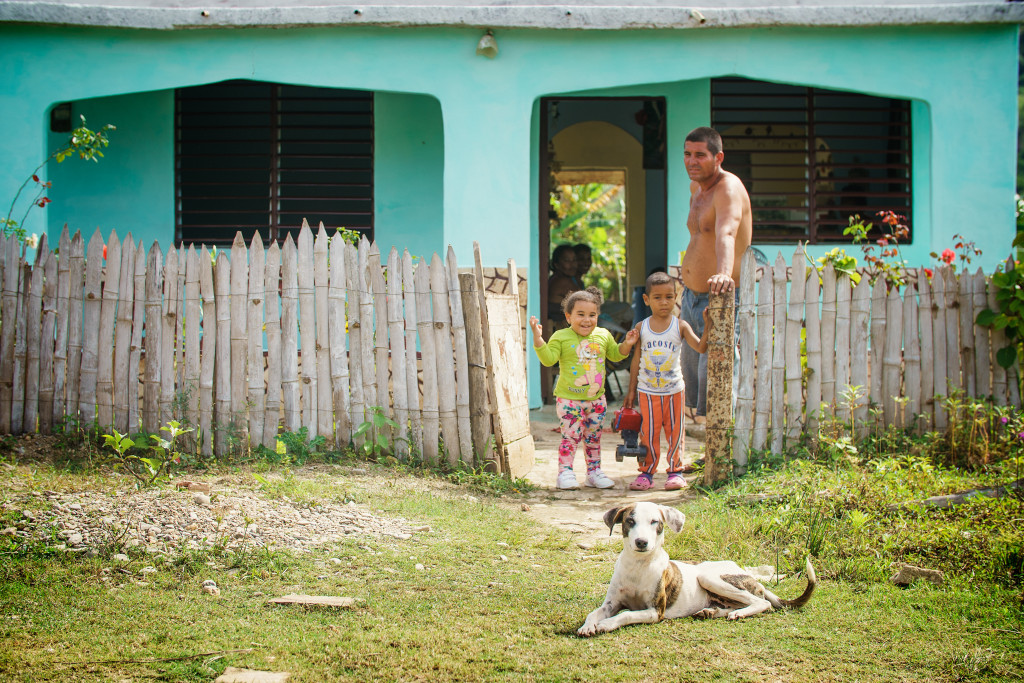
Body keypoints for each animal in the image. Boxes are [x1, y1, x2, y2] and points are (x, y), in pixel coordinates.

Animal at [581, 499, 819, 638]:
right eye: (630, 521)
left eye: (655, 522)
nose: (641, 542)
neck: (638, 566)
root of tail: (748, 574)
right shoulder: (611, 603)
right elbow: (594, 613)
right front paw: (588, 626)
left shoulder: (655, 611)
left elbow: (627, 615)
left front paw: (607, 624)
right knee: (736, 604)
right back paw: (712, 612)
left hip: (709, 578)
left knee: (762, 603)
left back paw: (739, 613)